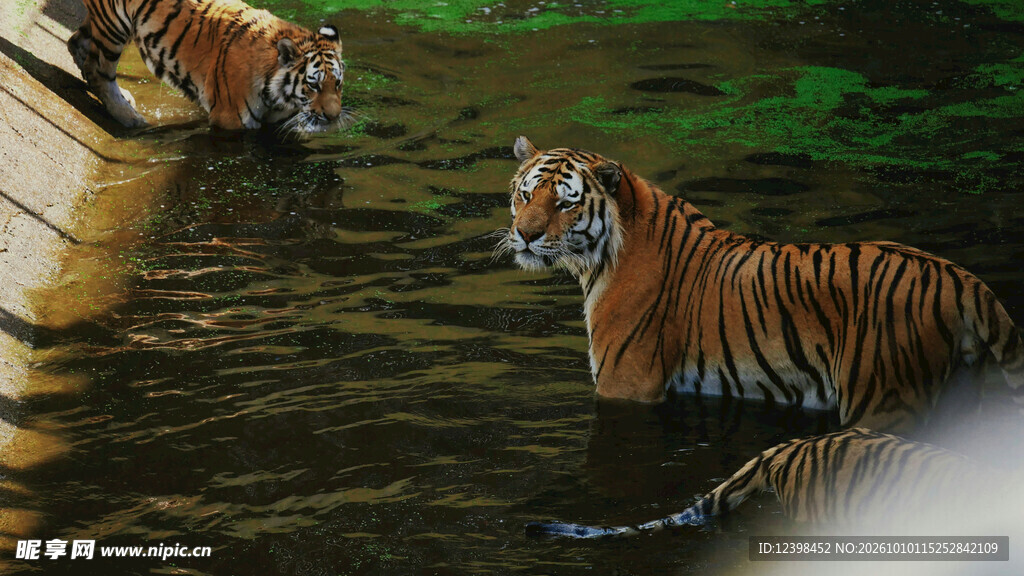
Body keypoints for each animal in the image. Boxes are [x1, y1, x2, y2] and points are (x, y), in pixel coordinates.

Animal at [68, 0, 348, 133]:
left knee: (75, 43)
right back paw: (131, 118)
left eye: (337, 83)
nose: (334, 117)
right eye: (313, 85)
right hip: (113, 23)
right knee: (97, 69)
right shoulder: (230, 121)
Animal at [497, 137, 1024, 432]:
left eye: (565, 203)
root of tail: (960, 277)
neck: (605, 255)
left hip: (886, 399)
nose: (526, 233)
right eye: (525, 194)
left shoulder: (626, 385)